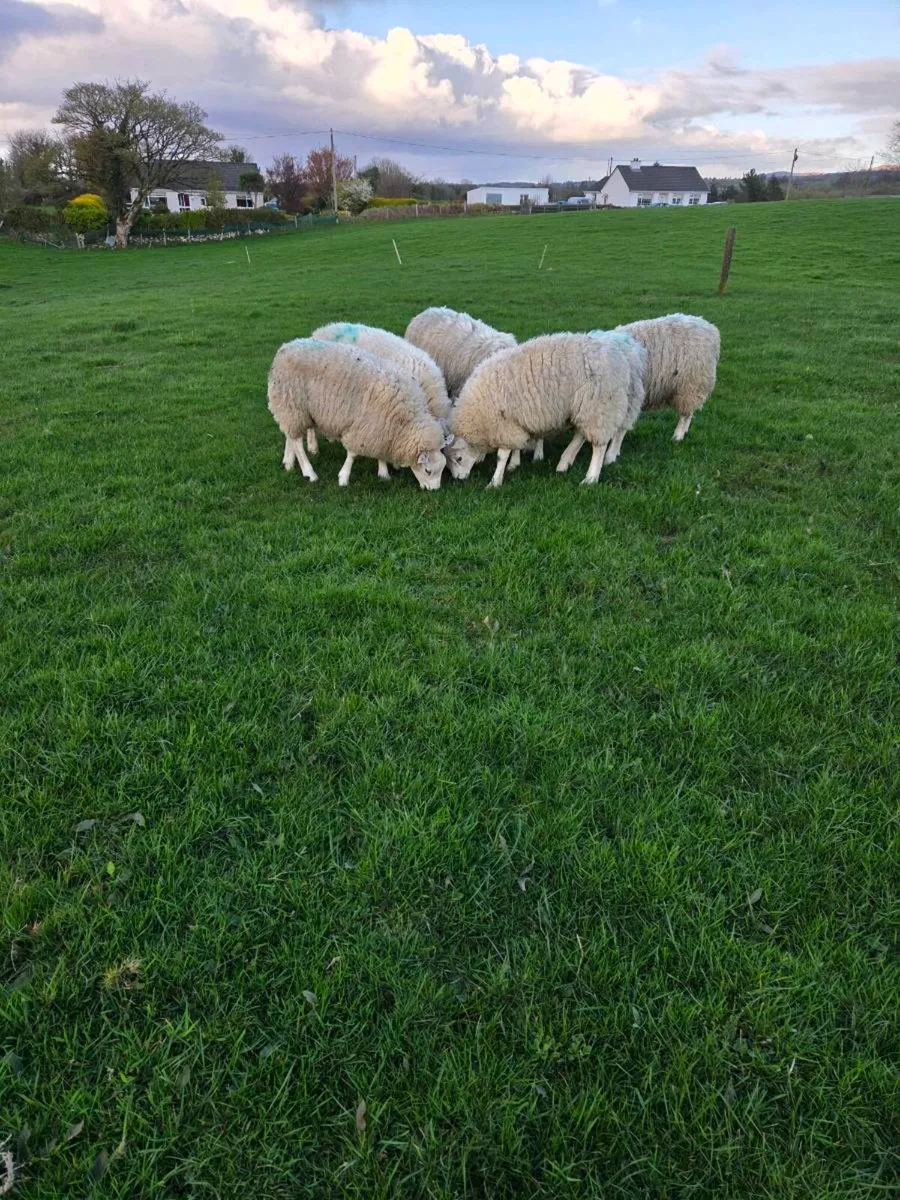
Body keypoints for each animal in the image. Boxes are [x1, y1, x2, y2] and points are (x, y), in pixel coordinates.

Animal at [268, 339, 448, 490]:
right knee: (298, 442)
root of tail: (286, 347)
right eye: (428, 471)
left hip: (292, 408)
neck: (404, 421)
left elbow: (379, 452)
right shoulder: (364, 428)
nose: (434, 490)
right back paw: (309, 473)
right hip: (292, 404)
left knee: (290, 435)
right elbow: (353, 454)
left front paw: (383, 473)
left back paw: (288, 462)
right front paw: (343, 477)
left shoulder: (380, 429)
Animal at [447, 331, 645, 488]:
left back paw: (591, 477)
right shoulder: (516, 421)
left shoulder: (503, 423)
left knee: (599, 445)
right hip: (584, 408)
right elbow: (517, 446)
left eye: (459, 458)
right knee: (581, 433)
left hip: (600, 405)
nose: (459, 479)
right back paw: (564, 462)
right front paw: (514, 464)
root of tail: (619, 355)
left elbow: (501, 456)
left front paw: (495, 481)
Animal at [556, 314, 721, 469]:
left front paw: (609, 456)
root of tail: (708, 326)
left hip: (691, 384)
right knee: (689, 412)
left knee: (686, 413)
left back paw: (678, 435)